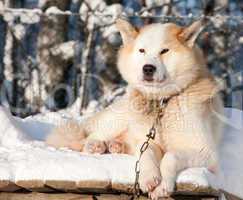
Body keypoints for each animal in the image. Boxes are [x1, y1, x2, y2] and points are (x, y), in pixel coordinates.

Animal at [45, 18, 222, 198]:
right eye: (142, 50)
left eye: (164, 51)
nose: (148, 68)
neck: (162, 102)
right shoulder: (147, 141)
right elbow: (147, 154)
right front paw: (149, 178)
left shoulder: (206, 153)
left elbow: (170, 156)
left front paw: (163, 186)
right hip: (117, 120)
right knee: (85, 139)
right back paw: (96, 145)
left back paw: (115, 146)